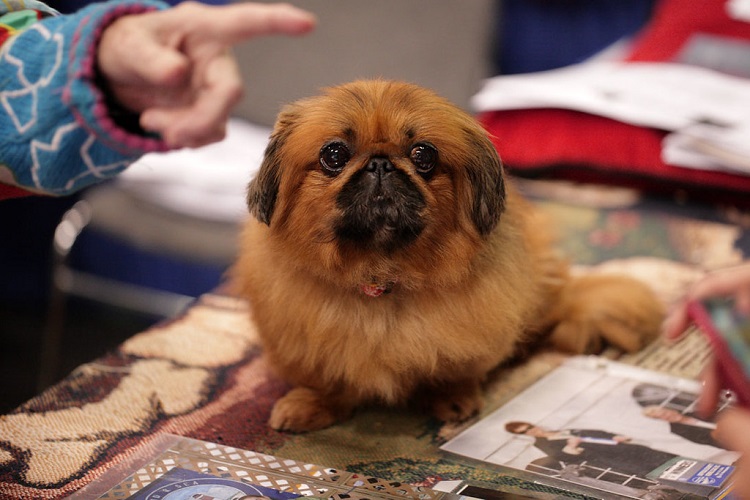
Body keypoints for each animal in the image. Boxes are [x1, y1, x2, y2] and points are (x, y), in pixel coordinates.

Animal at [232, 80, 668, 432]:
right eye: (334, 155)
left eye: (423, 155)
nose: (380, 163)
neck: (382, 274)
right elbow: (331, 379)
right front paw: (312, 404)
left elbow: (455, 370)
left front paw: (451, 397)